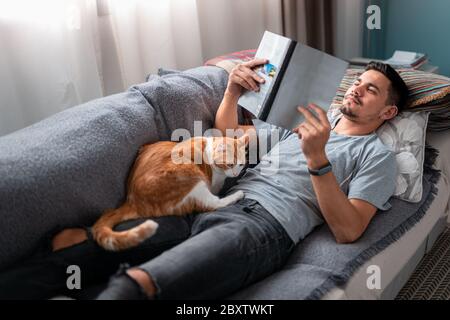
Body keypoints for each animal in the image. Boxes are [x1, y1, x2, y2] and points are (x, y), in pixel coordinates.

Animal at [92, 135, 248, 250]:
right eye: (230, 164)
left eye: (240, 164)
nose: (236, 173)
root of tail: (132, 200)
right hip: (190, 174)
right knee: (211, 204)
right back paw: (237, 195)